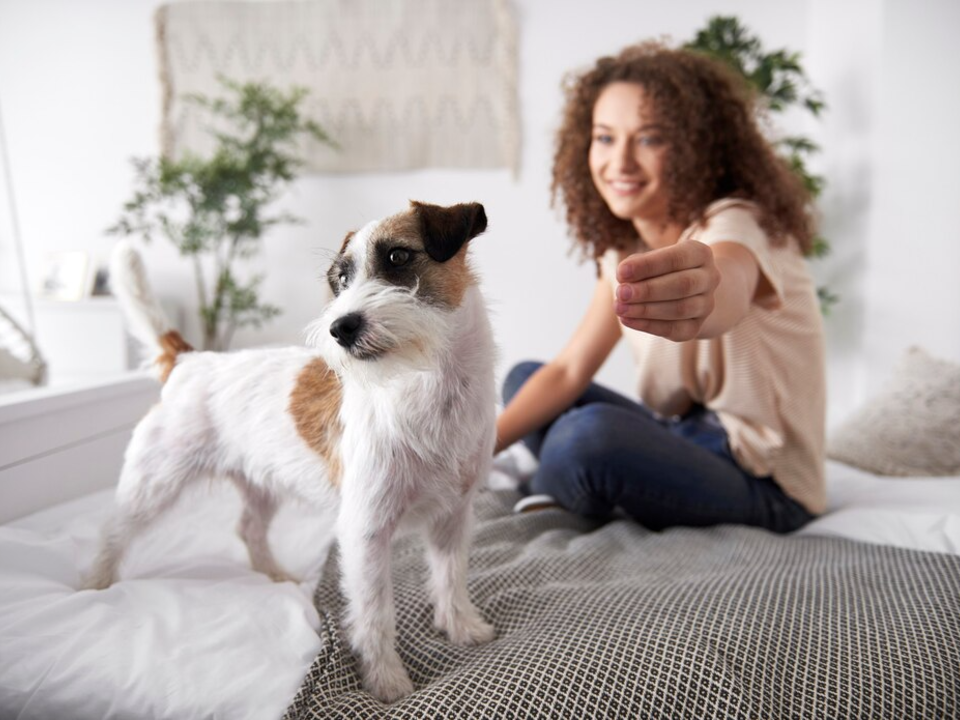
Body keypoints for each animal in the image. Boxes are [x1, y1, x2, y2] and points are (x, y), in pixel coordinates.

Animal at [84, 202, 496, 704]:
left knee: (248, 528)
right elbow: (375, 611)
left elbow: (451, 577)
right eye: (340, 279)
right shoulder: (366, 531)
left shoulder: (452, 518)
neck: (427, 384)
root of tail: (191, 360)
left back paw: (275, 575)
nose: (340, 328)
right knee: (114, 531)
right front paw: (385, 679)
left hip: (261, 484)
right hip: (154, 481)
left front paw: (462, 626)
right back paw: (94, 585)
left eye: (398, 257)